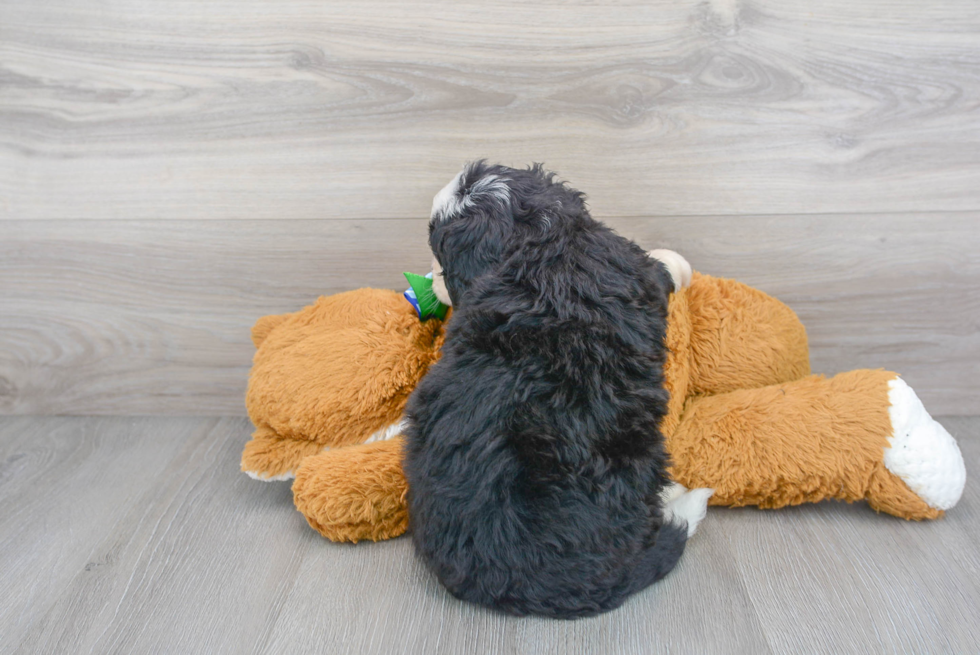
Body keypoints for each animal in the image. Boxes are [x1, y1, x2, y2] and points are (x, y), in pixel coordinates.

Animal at [402, 161, 708, 616]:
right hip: (638, 458)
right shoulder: (636, 270)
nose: (434, 281)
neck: (540, 238)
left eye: (438, 256)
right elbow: (660, 267)